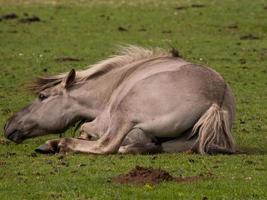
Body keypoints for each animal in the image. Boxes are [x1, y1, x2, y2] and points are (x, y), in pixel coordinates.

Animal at [2, 45, 237, 155]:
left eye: (42, 96)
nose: (8, 125)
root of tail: (216, 100)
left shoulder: (103, 120)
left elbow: (86, 129)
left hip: (124, 114)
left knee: (107, 146)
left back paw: (60, 144)